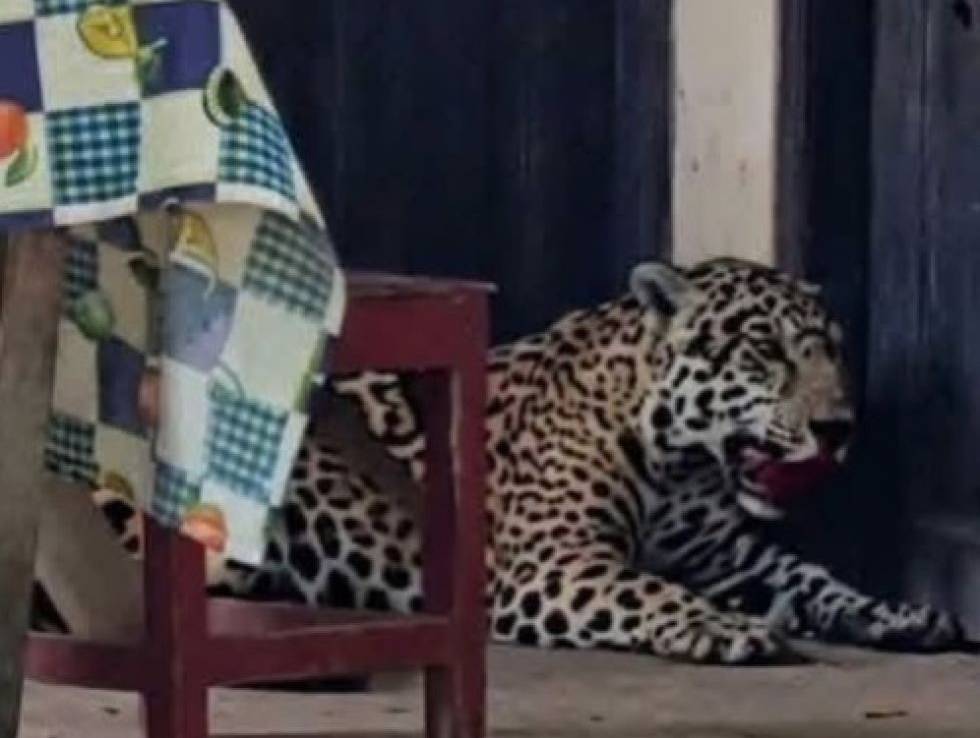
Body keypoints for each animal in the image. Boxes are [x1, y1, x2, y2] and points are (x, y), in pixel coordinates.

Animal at [48, 258, 966, 664]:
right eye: (765, 351)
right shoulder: (550, 563)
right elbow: (647, 589)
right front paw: (722, 628)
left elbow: (815, 577)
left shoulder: (730, 556)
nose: (840, 427)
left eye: (832, 352)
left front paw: (897, 615)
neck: (682, 465)